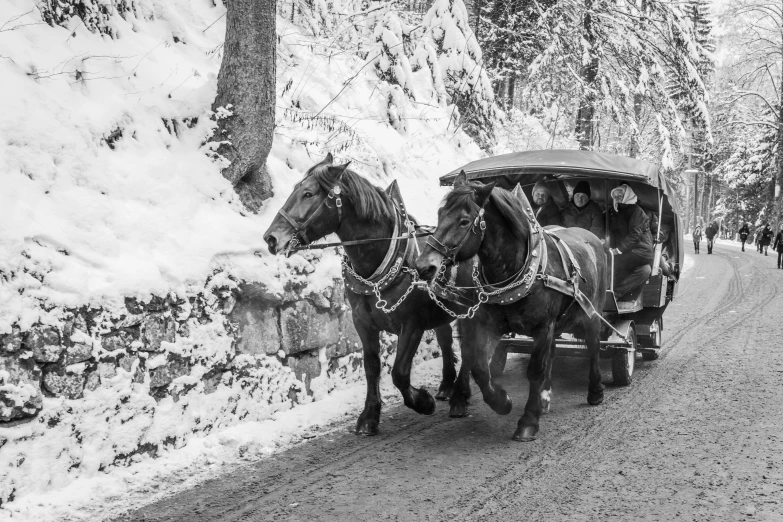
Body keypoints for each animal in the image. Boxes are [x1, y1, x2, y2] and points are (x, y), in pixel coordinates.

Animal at [416, 174, 608, 438]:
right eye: (439, 214)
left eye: (464, 221)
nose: (423, 266)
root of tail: (592, 239)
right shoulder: (489, 325)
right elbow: (479, 367)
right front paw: (502, 401)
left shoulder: (542, 327)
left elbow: (535, 371)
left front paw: (528, 420)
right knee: (554, 352)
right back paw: (545, 397)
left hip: (591, 314)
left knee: (594, 346)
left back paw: (595, 390)